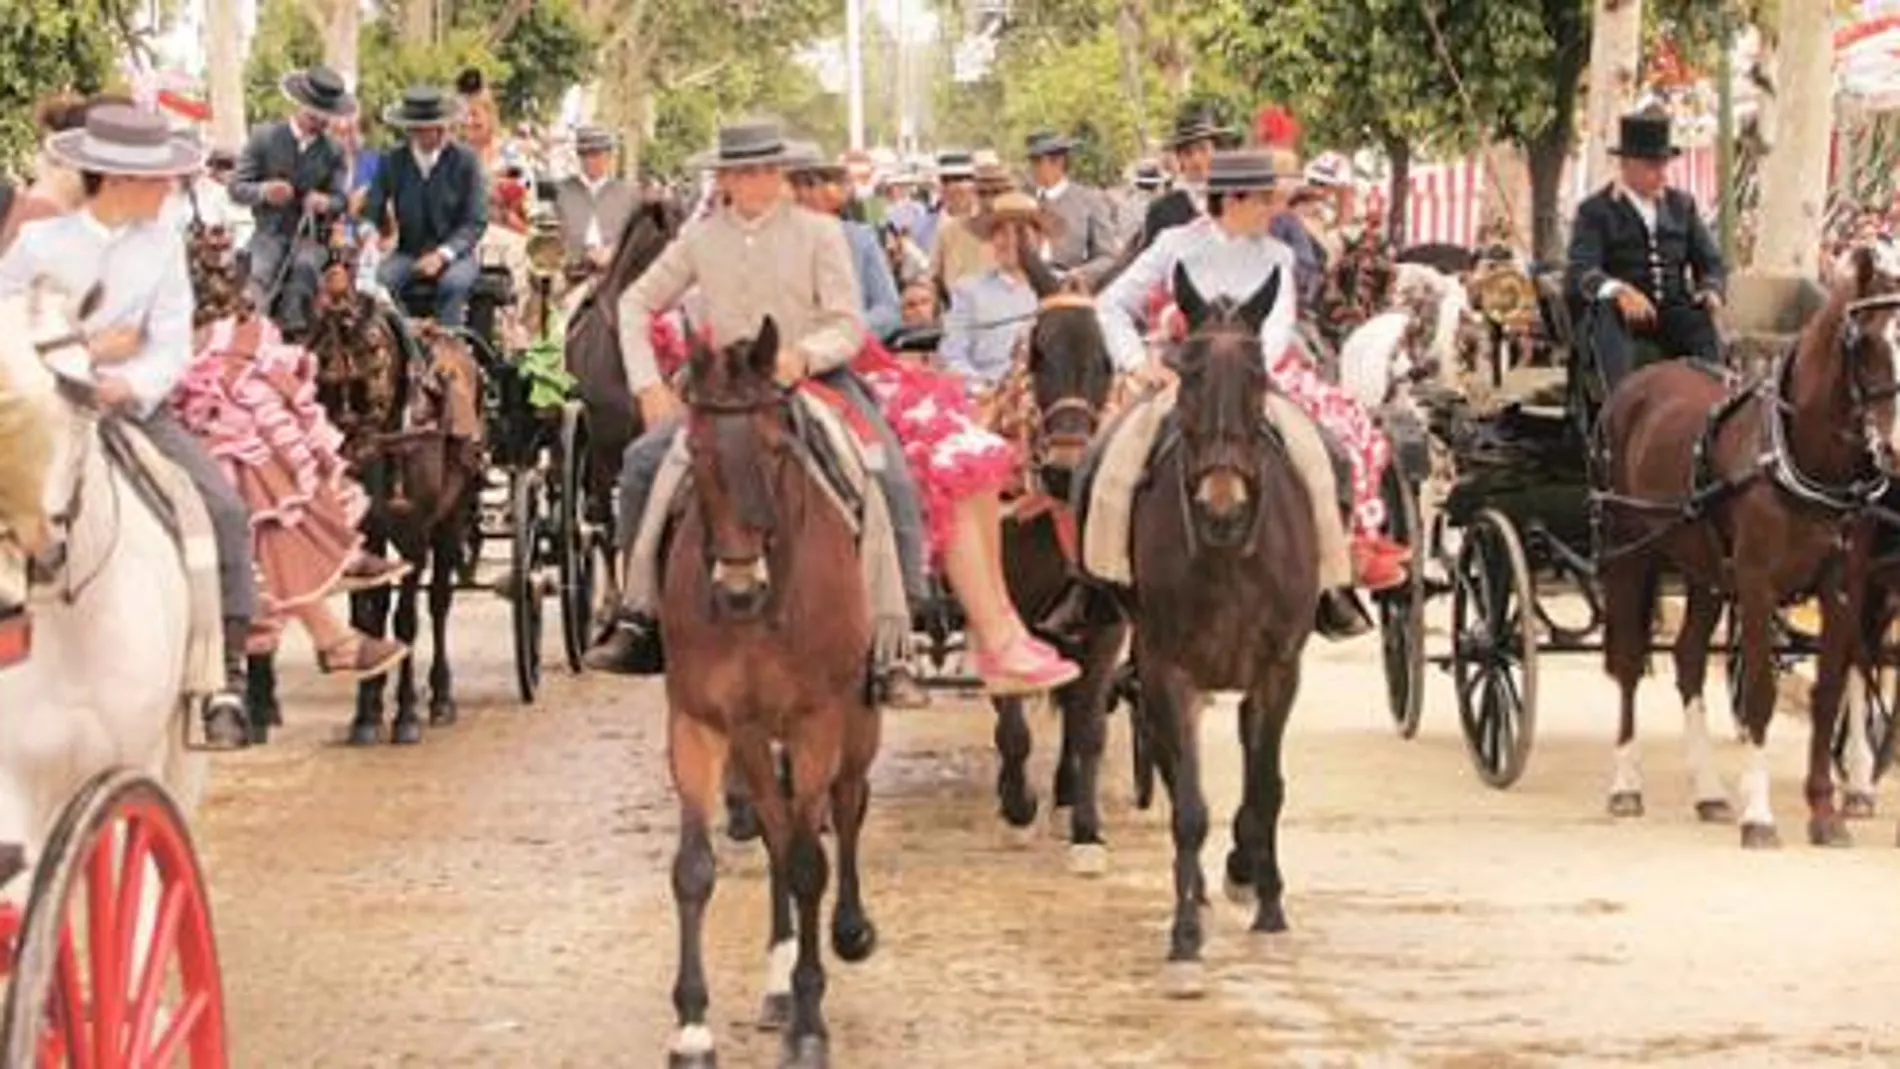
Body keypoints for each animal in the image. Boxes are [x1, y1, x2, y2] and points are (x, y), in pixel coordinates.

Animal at [661, 322, 881, 1069]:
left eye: (775, 448)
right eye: (698, 449)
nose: (736, 588)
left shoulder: (818, 721)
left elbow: (814, 860)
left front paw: (811, 1022)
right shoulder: (701, 721)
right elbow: (695, 868)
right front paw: (693, 1025)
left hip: (857, 720)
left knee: (845, 806)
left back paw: (848, 931)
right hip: (756, 738)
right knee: (779, 825)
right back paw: (780, 977)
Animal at [1079, 265, 1330, 994]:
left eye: (1259, 377)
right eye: (1186, 375)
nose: (1222, 509)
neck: (1228, 555)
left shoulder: (1278, 670)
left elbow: (1266, 788)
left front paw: (1269, 905)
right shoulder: (1170, 671)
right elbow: (1188, 807)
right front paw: (1185, 936)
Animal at [1603, 244, 1900, 854]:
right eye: (1867, 342)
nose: (1895, 449)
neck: (1801, 457)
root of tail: (1640, 383)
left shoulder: (1842, 587)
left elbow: (1830, 692)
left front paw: (1824, 812)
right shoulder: (1759, 582)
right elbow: (1762, 689)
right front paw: (1760, 815)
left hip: (1705, 569)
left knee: (1689, 658)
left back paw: (1710, 792)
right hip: (1629, 550)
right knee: (1627, 659)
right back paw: (1626, 784)